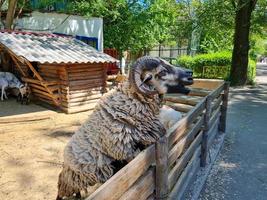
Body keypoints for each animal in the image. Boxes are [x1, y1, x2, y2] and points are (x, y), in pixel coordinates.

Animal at [57, 55, 195, 199]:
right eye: (162, 72)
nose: (190, 75)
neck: (127, 108)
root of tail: (65, 154)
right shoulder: (126, 152)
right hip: (74, 178)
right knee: (61, 190)